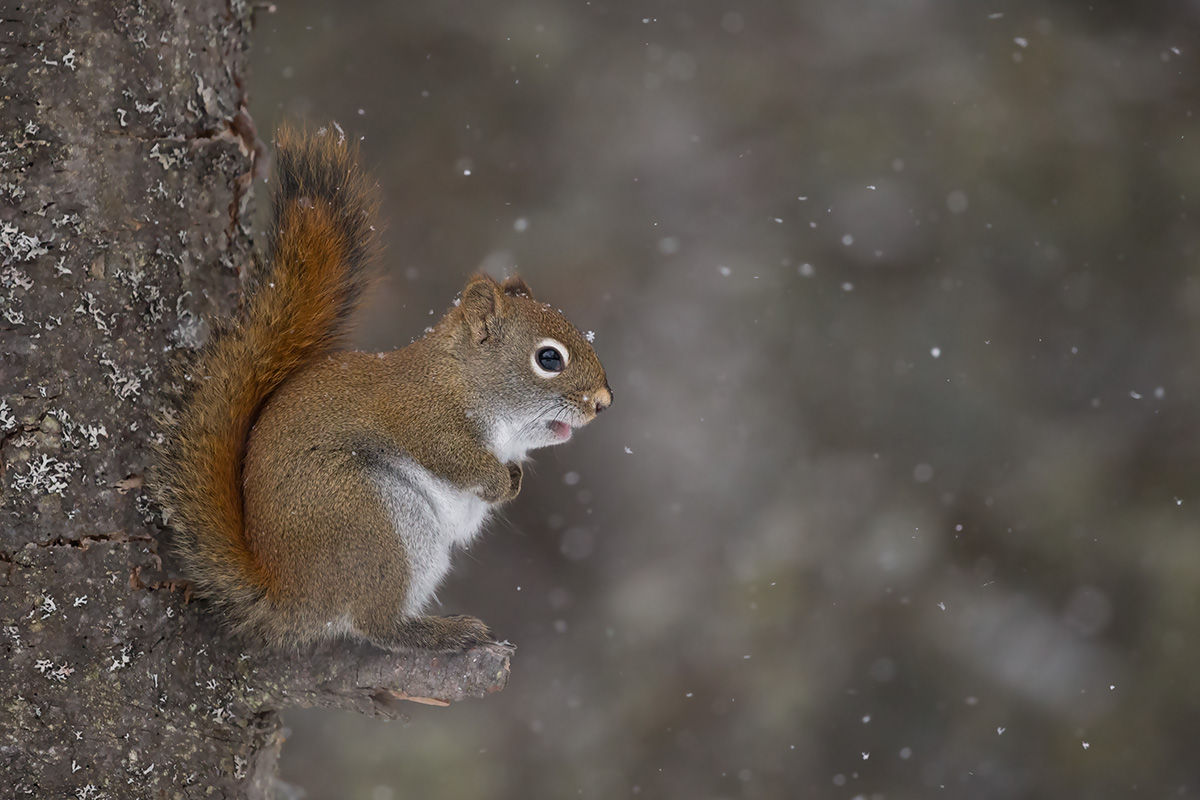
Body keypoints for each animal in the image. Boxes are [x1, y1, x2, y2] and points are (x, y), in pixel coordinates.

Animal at [153, 125, 611, 652]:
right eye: (549, 358)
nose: (604, 402)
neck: (462, 379)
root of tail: (288, 593)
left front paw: (512, 478)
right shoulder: (423, 418)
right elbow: (454, 457)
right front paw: (498, 480)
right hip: (375, 520)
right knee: (376, 623)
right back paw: (443, 631)